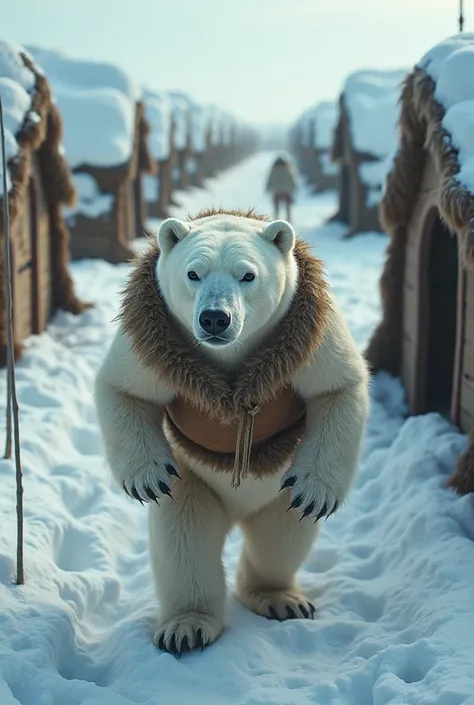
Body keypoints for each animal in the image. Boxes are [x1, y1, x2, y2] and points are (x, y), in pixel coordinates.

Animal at [94, 208, 370, 656]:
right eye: (193, 273)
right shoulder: (152, 339)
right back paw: (186, 627)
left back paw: (281, 599)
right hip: (195, 483)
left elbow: (337, 387)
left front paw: (315, 491)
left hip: (275, 491)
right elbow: (125, 389)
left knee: (281, 537)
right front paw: (147, 477)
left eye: (247, 275)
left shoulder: (310, 331)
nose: (214, 318)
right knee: (185, 541)